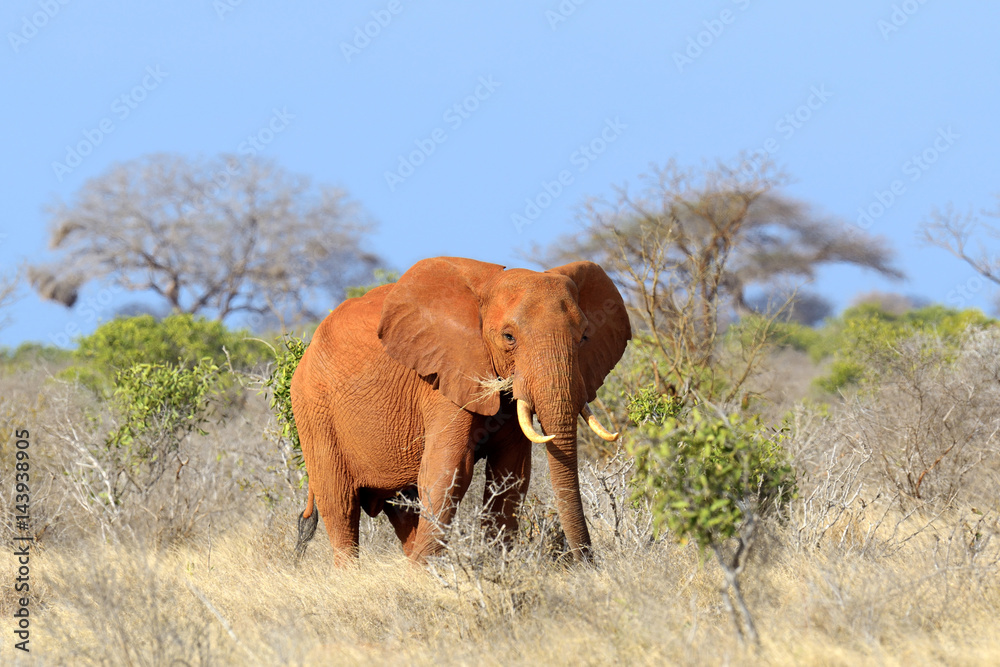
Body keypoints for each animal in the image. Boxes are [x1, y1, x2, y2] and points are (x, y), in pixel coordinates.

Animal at [290, 256, 631, 564]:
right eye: (509, 337)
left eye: (584, 337)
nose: (588, 564)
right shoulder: (442, 378)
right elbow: (448, 469)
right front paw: (427, 578)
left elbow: (511, 475)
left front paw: (496, 568)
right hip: (313, 410)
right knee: (340, 504)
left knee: (401, 507)